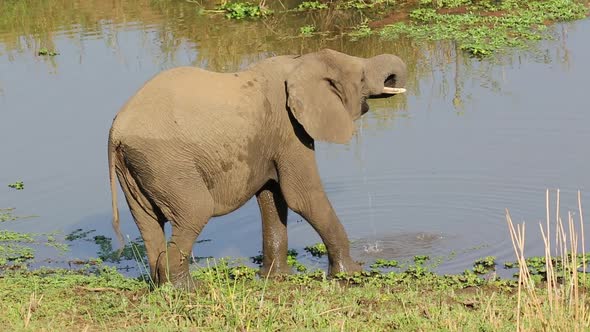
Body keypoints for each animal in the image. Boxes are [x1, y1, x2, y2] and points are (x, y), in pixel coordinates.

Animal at [107, 48, 408, 290]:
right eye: (361, 78)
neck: (300, 61)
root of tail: (115, 131)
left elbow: (272, 197)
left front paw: (276, 277)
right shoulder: (289, 128)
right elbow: (303, 197)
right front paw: (353, 273)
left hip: (138, 167)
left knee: (148, 222)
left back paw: (160, 286)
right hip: (166, 162)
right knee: (195, 210)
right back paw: (186, 289)